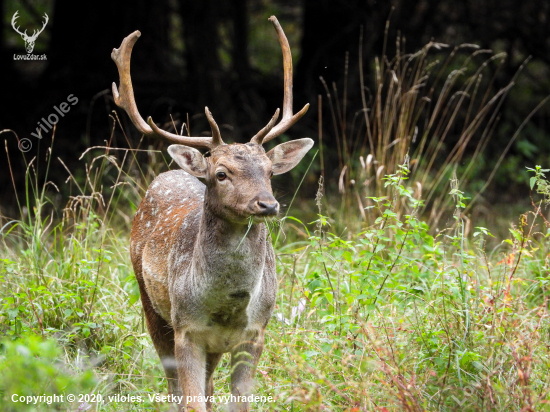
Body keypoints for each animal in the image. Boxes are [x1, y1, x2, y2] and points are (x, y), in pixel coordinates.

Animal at [111, 14, 314, 410]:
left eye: (269, 171)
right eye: (221, 174)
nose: (267, 204)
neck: (227, 307)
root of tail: (169, 173)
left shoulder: (254, 332)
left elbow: (237, 401)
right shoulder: (187, 329)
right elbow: (190, 400)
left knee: (207, 387)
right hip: (149, 302)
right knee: (174, 388)